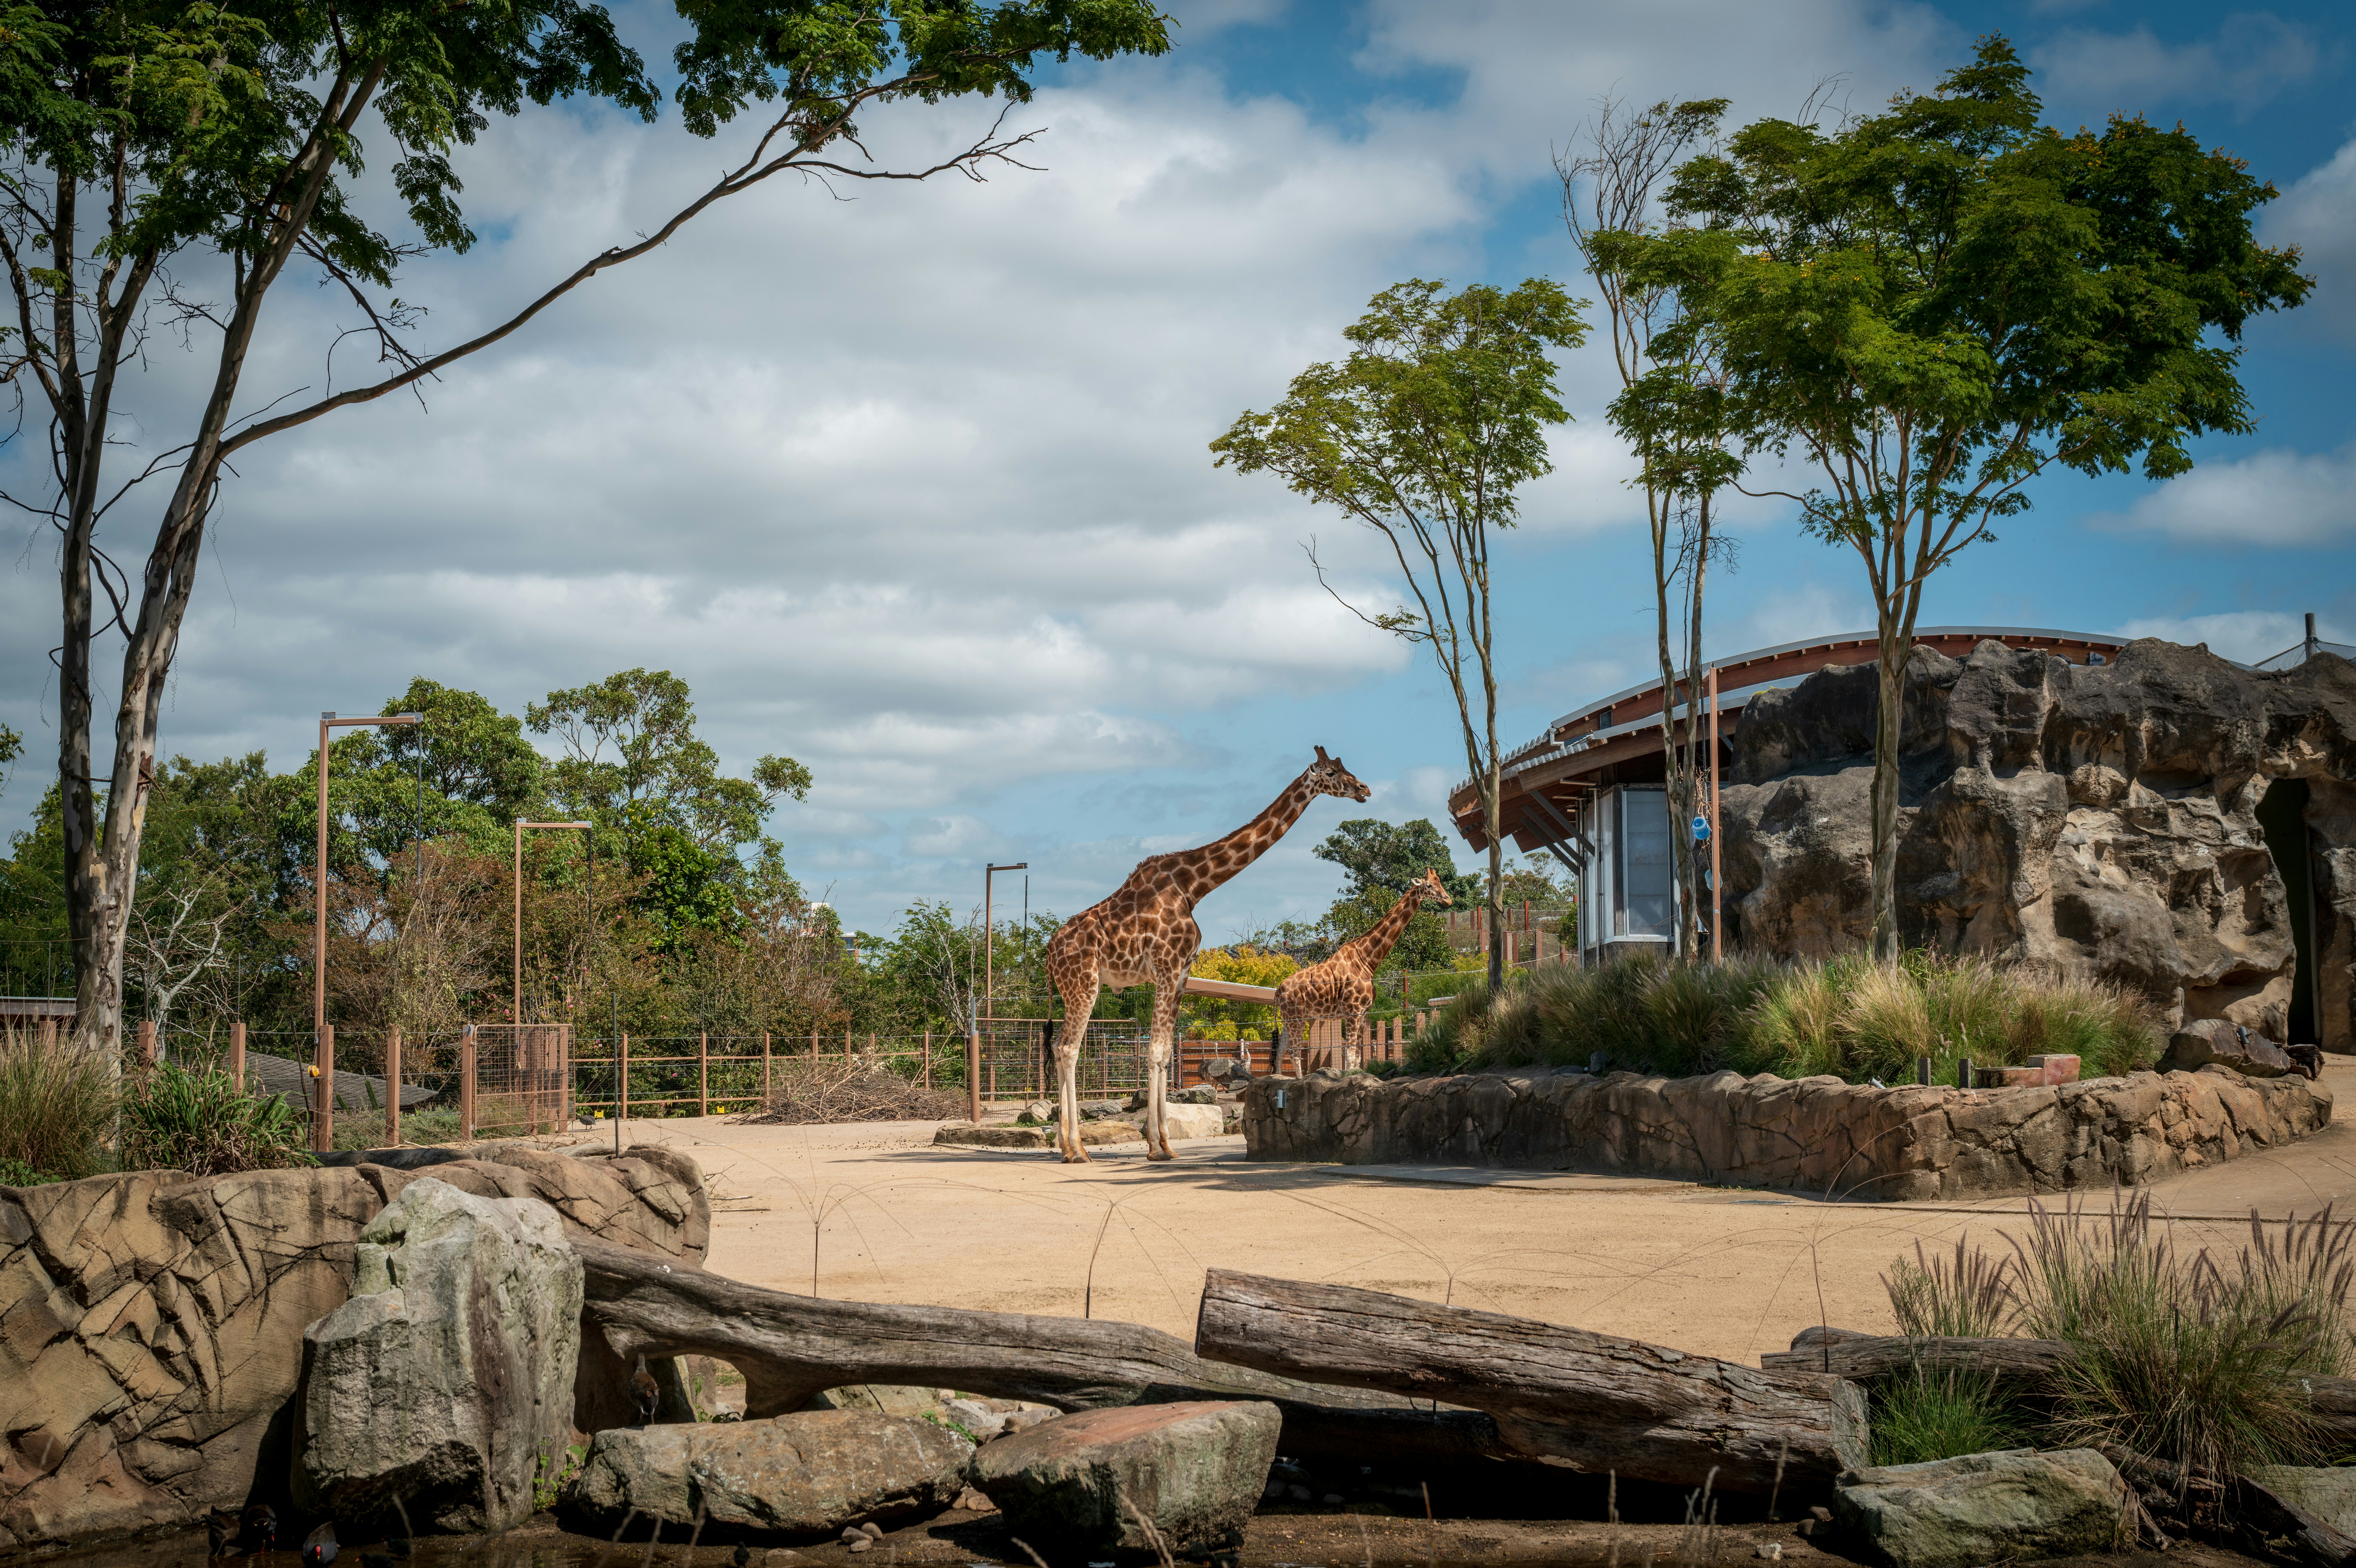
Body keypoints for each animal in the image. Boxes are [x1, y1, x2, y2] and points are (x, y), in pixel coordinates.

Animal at [1043, 747, 1370, 1163]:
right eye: (1331, 773)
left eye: (1345, 768)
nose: (1364, 789)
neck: (1194, 886)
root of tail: (1049, 954)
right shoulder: (1167, 966)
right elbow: (1155, 1051)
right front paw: (1160, 1146)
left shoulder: (1181, 971)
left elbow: (1166, 1053)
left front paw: (1161, 1145)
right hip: (1084, 982)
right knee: (1069, 1048)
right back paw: (1078, 1150)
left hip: (1077, 988)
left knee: (1058, 1047)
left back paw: (1065, 1147)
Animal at [1273, 868, 1452, 1075]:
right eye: (1429, 885)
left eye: (1440, 882)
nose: (1448, 900)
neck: (1367, 960)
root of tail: (1278, 991)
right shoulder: (1353, 1010)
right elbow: (1350, 1054)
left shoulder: (1364, 1012)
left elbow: (1358, 1056)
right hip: (1297, 1017)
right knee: (1294, 1053)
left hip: (1288, 1019)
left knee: (1280, 1052)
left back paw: (1279, 1079)